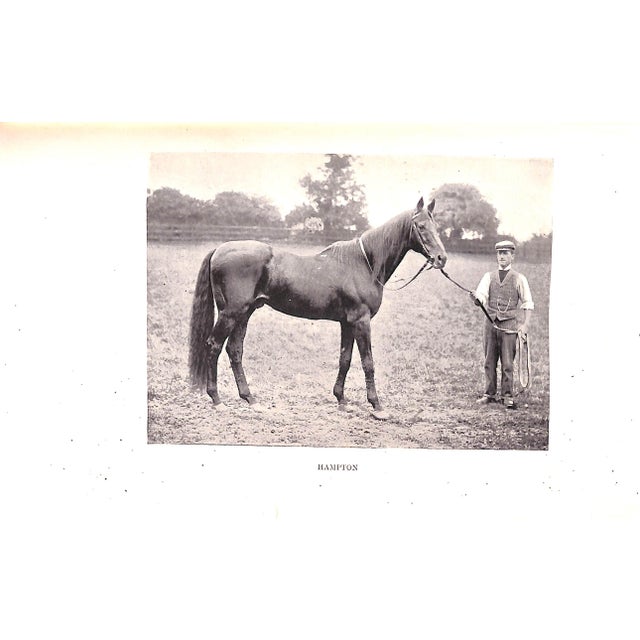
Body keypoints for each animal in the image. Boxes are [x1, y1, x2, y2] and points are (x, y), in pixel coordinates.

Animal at [188, 197, 447, 420]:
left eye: (437, 226)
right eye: (421, 226)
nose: (441, 258)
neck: (364, 263)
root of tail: (219, 250)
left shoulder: (347, 323)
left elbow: (345, 359)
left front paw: (341, 400)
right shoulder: (361, 321)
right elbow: (368, 362)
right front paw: (377, 406)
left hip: (244, 313)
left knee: (234, 350)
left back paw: (250, 399)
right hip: (231, 313)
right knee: (214, 346)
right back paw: (217, 399)